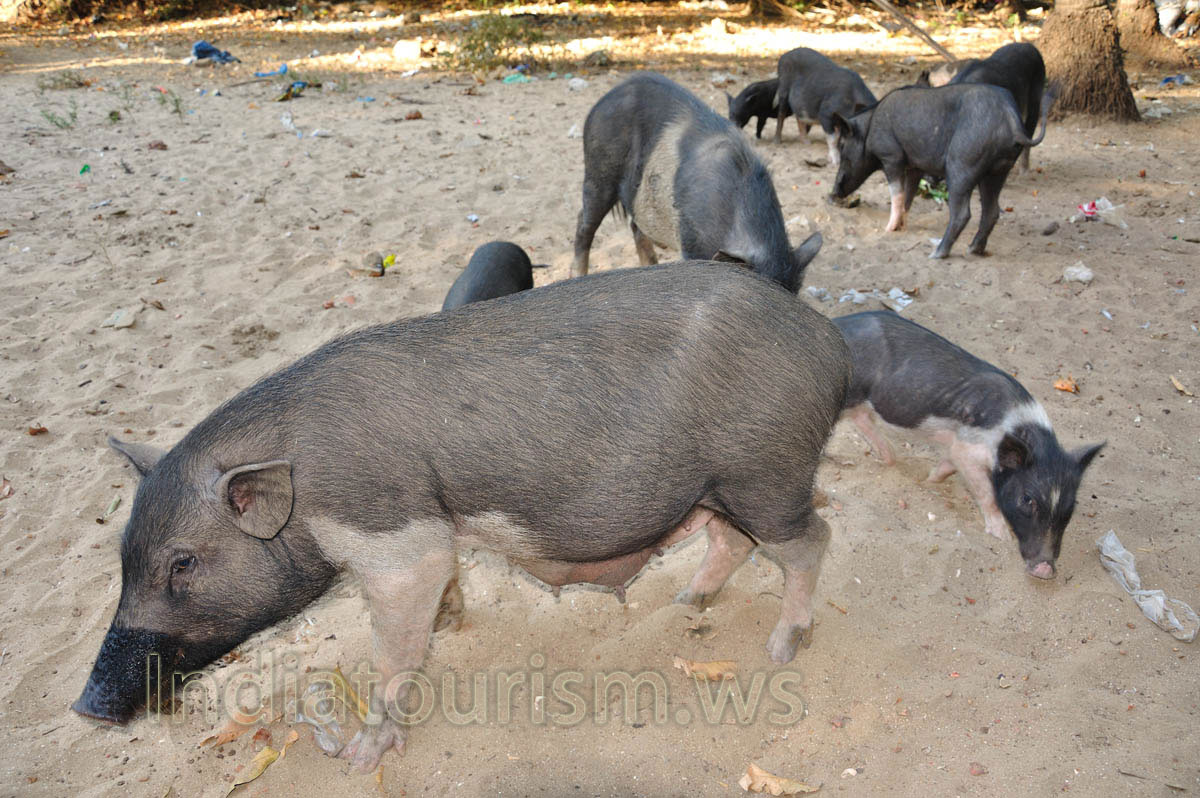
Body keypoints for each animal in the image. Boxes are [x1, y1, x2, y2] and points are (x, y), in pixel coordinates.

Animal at [74, 260, 851, 773]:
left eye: (182, 563)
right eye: (123, 559)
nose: (87, 707)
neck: (305, 486)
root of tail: (828, 342)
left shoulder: (394, 537)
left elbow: (394, 648)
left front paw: (361, 759)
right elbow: (441, 590)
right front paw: (449, 623)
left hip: (765, 471)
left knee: (813, 538)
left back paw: (783, 647)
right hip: (720, 486)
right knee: (732, 540)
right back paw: (689, 601)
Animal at [571, 72, 823, 293]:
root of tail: (603, 100)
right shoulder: (691, 243)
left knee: (636, 226)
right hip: (598, 169)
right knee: (584, 222)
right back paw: (576, 275)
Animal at [829, 82, 1055, 259]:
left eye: (843, 147)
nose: (832, 193)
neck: (869, 129)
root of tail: (1011, 120)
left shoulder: (892, 157)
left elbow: (896, 194)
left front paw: (889, 229)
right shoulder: (914, 166)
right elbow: (908, 196)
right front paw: (902, 227)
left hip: (961, 165)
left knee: (962, 213)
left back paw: (936, 254)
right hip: (998, 170)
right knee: (991, 211)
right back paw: (973, 249)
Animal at [833, 310, 1104, 578]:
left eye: (1071, 504)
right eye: (1027, 499)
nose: (1045, 569)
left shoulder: (956, 447)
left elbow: (945, 467)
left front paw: (927, 480)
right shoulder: (968, 449)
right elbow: (987, 494)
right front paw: (1001, 537)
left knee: (861, 418)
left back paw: (890, 457)